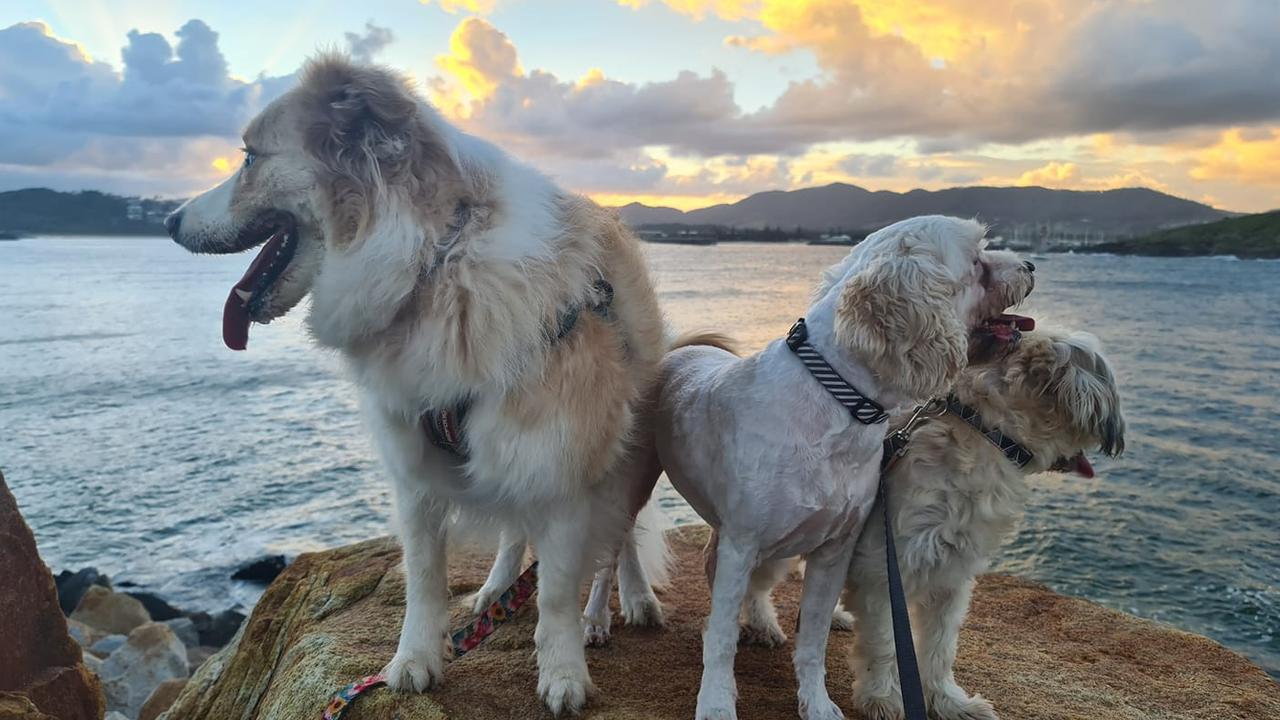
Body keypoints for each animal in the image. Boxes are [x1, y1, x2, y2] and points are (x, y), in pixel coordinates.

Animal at [167, 56, 670, 712]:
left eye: (250, 158)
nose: (167, 220)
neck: (436, 266)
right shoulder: (416, 468)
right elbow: (424, 581)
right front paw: (414, 662)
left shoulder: (560, 468)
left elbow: (559, 593)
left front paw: (564, 673)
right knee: (516, 532)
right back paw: (496, 590)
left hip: (622, 460)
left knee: (618, 546)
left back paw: (617, 607)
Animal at [655, 217, 1034, 717]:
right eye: (976, 261)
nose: (1030, 264)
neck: (838, 401)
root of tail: (681, 350)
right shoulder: (743, 544)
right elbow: (719, 639)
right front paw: (716, 704)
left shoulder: (835, 549)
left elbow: (813, 640)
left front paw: (816, 703)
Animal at [742, 326, 1121, 717]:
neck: (983, 434)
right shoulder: (884, 570)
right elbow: (885, 643)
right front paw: (882, 697)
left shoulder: (951, 577)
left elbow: (940, 649)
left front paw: (947, 701)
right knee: (756, 586)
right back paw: (763, 624)